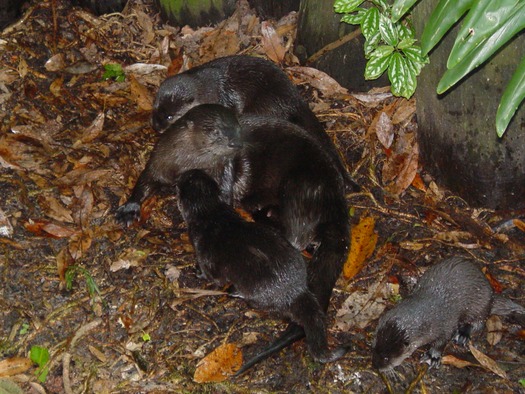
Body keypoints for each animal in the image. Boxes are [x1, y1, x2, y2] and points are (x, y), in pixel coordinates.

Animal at [176, 169, 348, 364]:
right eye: (195, 173)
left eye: (182, 181)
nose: (185, 172)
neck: (211, 215)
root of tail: (296, 291)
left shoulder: (203, 251)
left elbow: (212, 276)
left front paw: (196, 272)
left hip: (255, 289)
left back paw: (235, 292)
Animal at [372, 255, 524, 372]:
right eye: (374, 347)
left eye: (386, 358)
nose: (375, 366)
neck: (429, 312)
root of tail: (492, 296)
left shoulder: (445, 325)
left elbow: (442, 340)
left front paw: (433, 356)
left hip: (480, 305)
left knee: (480, 322)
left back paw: (463, 334)